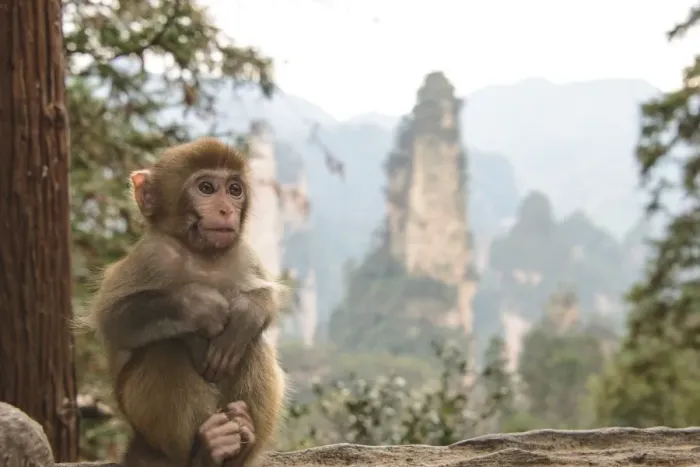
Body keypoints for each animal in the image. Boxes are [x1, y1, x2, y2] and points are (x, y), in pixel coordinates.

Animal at [84, 137, 287, 467]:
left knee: (251, 344)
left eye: (234, 189)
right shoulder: (150, 256)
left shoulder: (244, 254)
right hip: (138, 415)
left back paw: (240, 443)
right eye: (206, 188)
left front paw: (244, 315)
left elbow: (266, 297)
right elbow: (113, 318)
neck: (201, 255)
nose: (226, 210)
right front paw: (201, 306)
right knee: (167, 349)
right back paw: (207, 449)